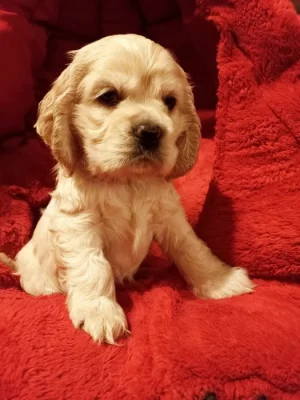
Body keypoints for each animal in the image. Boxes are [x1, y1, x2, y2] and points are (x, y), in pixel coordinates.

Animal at [14, 33, 254, 344]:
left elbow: (192, 248)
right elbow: (92, 266)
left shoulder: (170, 217)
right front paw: (99, 311)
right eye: (108, 96)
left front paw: (221, 282)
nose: (150, 132)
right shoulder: (78, 224)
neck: (128, 181)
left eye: (170, 101)